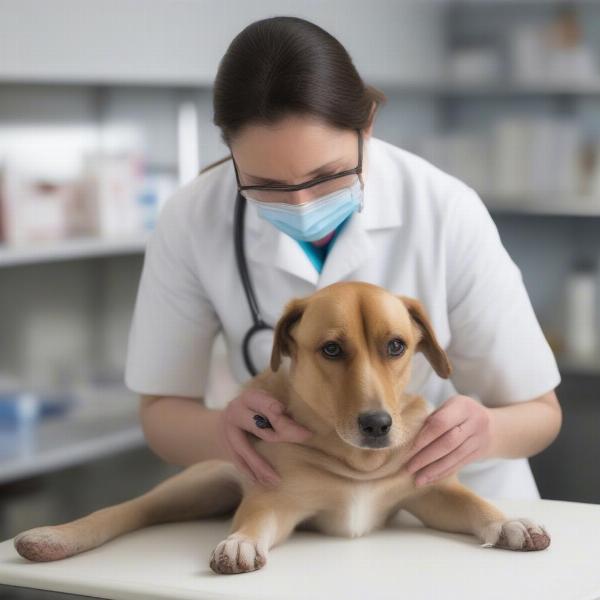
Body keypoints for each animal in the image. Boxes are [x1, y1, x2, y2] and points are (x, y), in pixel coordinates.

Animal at [12, 278, 548, 576]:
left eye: (396, 346)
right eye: (331, 349)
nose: (378, 423)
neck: (357, 462)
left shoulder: (432, 489)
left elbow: (475, 503)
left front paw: (510, 521)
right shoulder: (274, 501)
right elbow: (253, 520)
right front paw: (241, 542)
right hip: (199, 481)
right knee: (130, 511)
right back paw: (54, 538)